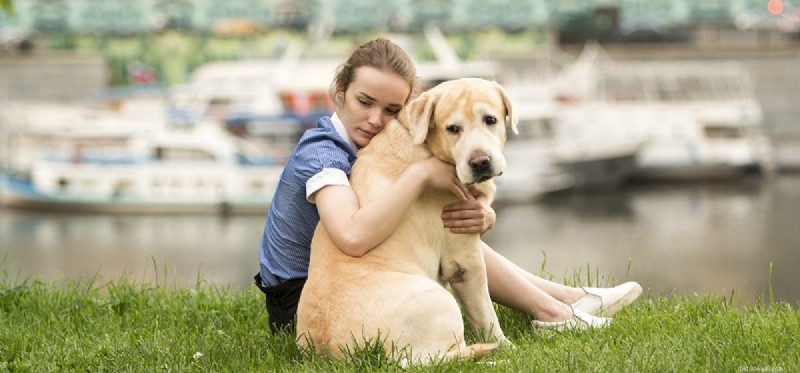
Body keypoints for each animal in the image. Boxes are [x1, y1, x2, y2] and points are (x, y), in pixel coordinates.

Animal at [296, 77, 516, 364]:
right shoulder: (465, 260)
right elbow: (486, 315)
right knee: (439, 360)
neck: (424, 142)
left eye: (490, 120)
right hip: (439, 302)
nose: (480, 162)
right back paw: (492, 357)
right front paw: (507, 347)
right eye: (453, 129)